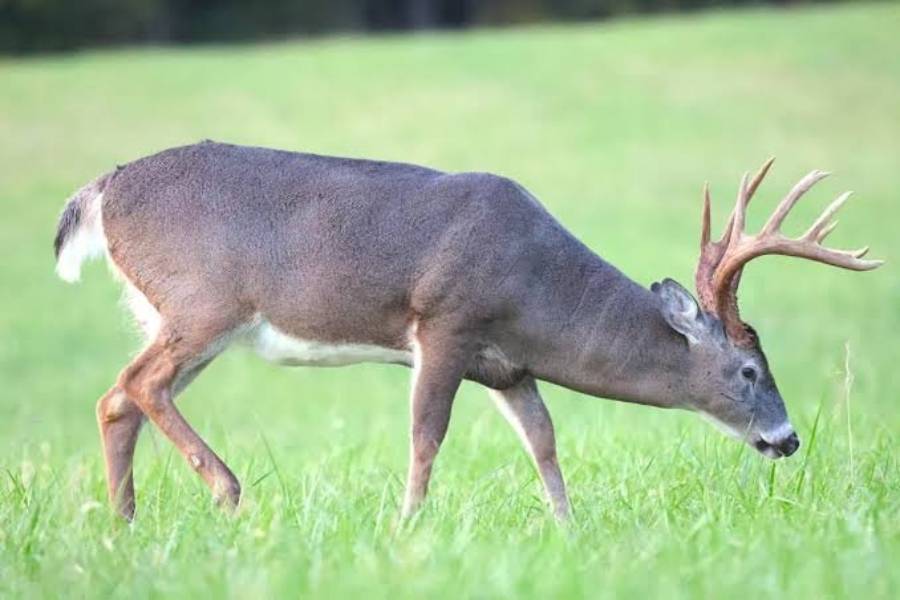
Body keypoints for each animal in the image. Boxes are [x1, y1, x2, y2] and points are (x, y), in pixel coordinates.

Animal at [54, 141, 883, 521]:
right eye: (749, 371)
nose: (788, 438)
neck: (533, 287)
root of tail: (100, 190)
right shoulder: (446, 322)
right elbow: (427, 434)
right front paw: (408, 525)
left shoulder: (510, 366)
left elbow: (545, 441)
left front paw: (567, 528)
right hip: (205, 304)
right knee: (138, 383)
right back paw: (225, 491)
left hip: (180, 316)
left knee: (117, 397)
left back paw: (125, 522)